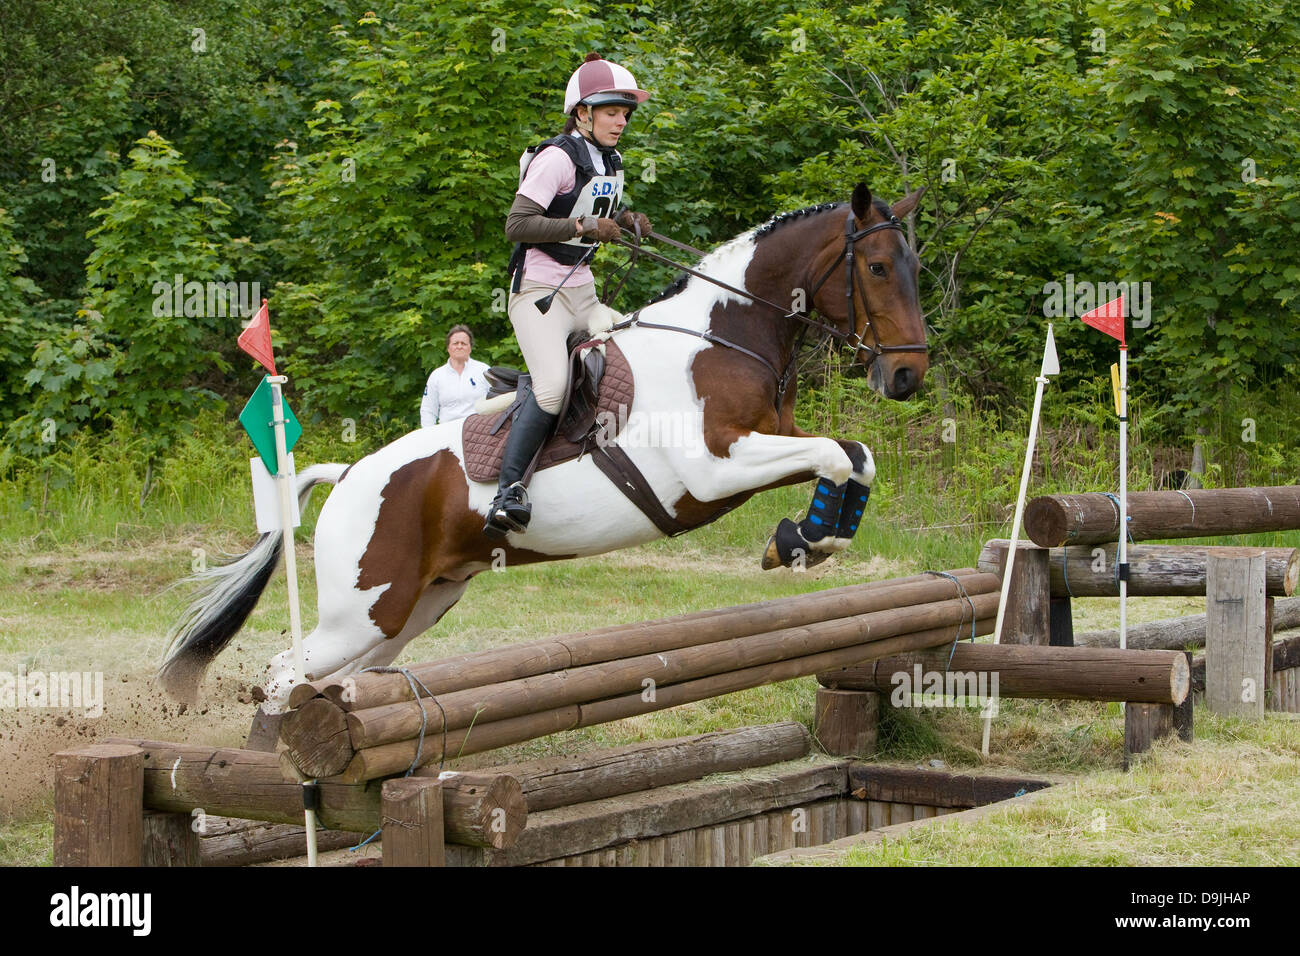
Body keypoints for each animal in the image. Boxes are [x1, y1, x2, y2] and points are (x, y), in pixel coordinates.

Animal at [159, 183, 925, 717]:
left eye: (912, 266)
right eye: (877, 268)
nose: (907, 376)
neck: (720, 338)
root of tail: (346, 474)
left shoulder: (764, 446)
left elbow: (853, 454)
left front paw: (807, 539)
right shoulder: (714, 470)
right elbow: (837, 453)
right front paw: (800, 539)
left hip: (413, 610)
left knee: (334, 677)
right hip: (361, 612)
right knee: (282, 675)